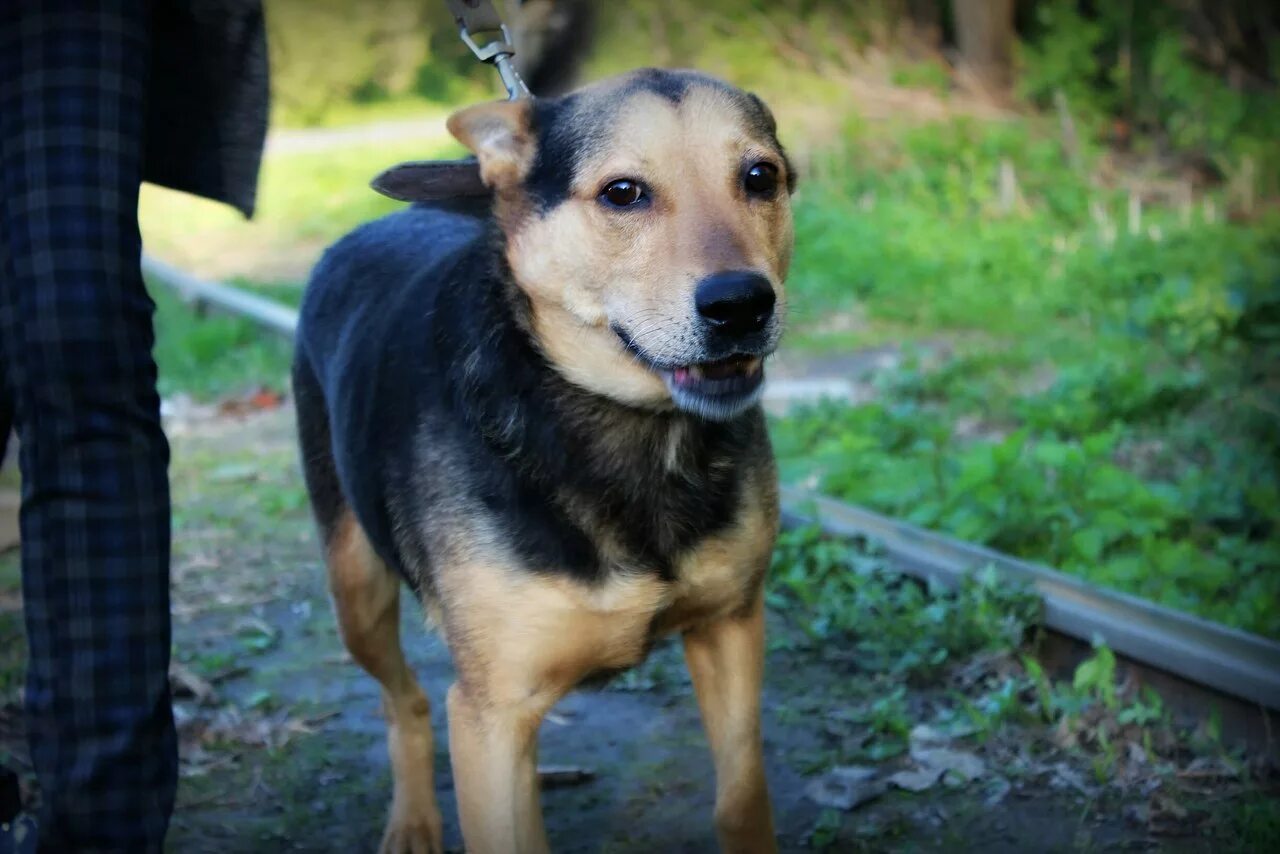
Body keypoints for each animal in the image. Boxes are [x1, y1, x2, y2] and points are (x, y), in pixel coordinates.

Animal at [294, 68, 793, 854]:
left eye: (760, 177)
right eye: (623, 192)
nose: (742, 304)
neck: (631, 434)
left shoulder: (731, 626)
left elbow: (742, 800)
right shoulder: (491, 718)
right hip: (357, 589)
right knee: (403, 698)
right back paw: (413, 819)